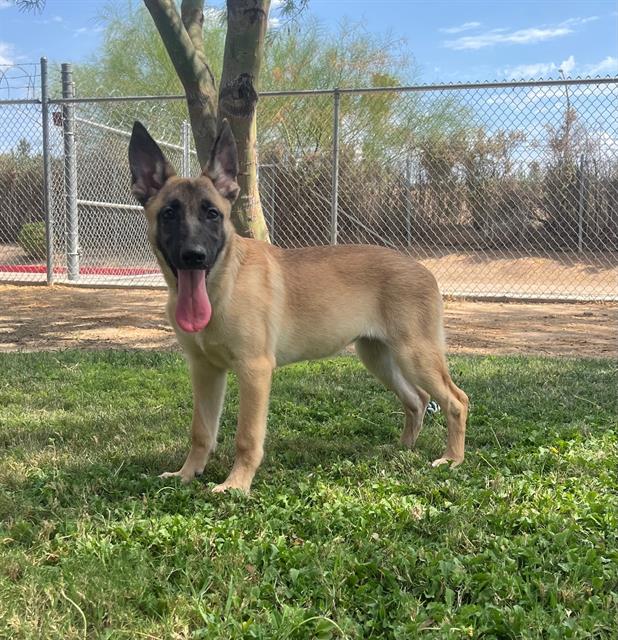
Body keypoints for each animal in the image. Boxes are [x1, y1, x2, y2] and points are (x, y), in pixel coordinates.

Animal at [129, 119, 466, 490]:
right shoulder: (205, 370)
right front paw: (187, 473)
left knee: (456, 400)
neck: (224, 284)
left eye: (212, 214)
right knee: (418, 400)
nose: (194, 256)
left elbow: (247, 436)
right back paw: (403, 448)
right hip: (378, 357)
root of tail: (423, 270)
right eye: (169, 213)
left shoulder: (254, 370)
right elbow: (201, 431)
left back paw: (452, 458)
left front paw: (236, 484)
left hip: (415, 355)